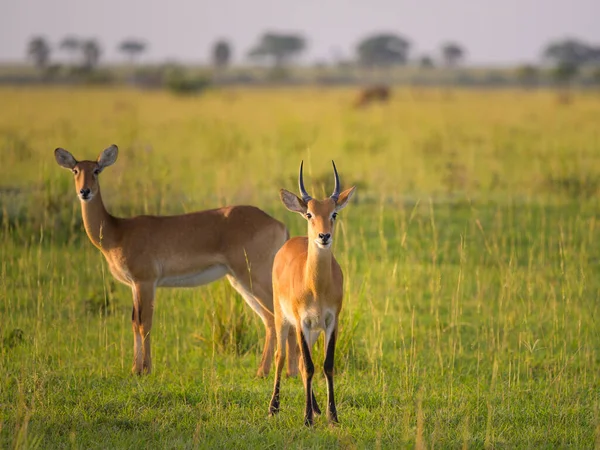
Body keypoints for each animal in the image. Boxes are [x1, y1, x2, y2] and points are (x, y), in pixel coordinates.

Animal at [55, 145, 294, 376]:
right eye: (75, 170)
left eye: (96, 170)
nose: (84, 191)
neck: (117, 231)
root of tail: (280, 225)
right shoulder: (134, 285)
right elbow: (134, 322)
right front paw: (134, 368)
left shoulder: (146, 282)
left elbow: (145, 323)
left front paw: (145, 370)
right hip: (240, 281)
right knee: (270, 319)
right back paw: (268, 372)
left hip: (254, 278)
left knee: (279, 318)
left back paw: (280, 372)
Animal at [268, 159, 356, 426]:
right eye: (309, 214)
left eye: (333, 213)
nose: (323, 236)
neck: (316, 288)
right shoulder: (301, 321)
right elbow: (308, 366)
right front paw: (307, 419)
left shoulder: (331, 321)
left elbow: (326, 365)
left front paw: (332, 415)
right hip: (282, 318)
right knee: (281, 355)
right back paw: (273, 407)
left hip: (314, 330)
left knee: (297, 358)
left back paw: (316, 408)